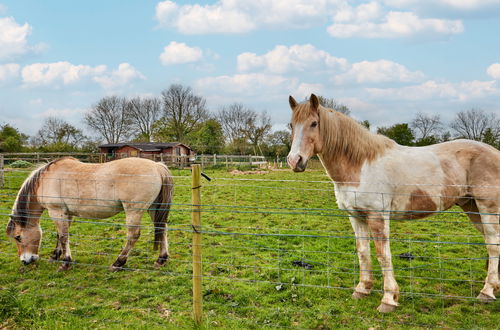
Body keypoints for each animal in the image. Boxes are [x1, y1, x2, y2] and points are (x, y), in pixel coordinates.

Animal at [4, 157, 174, 270]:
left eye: (18, 237)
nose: (25, 260)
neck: (45, 180)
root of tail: (157, 166)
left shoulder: (56, 211)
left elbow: (63, 237)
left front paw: (66, 262)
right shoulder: (66, 213)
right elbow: (61, 235)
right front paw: (55, 255)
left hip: (133, 211)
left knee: (133, 236)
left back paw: (118, 262)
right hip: (154, 208)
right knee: (162, 228)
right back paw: (161, 259)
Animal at [288, 94, 498, 314]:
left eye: (314, 123)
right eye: (291, 125)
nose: (294, 161)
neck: (360, 165)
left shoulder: (377, 217)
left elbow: (383, 255)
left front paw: (388, 299)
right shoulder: (356, 217)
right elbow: (363, 252)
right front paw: (362, 289)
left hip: (487, 209)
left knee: (493, 245)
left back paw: (487, 292)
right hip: (472, 208)